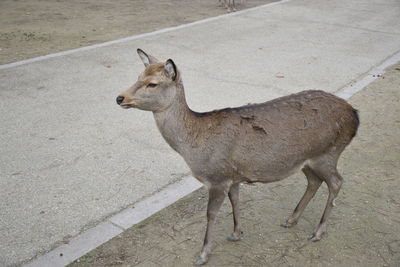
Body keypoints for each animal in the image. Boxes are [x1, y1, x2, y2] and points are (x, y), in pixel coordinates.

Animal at [115, 49, 360, 264]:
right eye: (138, 77)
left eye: (152, 83)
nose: (119, 98)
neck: (194, 145)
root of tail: (355, 115)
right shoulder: (233, 176)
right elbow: (236, 201)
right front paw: (236, 233)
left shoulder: (217, 177)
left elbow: (211, 214)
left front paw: (203, 254)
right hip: (308, 160)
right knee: (314, 181)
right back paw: (291, 219)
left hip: (328, 153)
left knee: (336, 182)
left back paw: (318, 232)